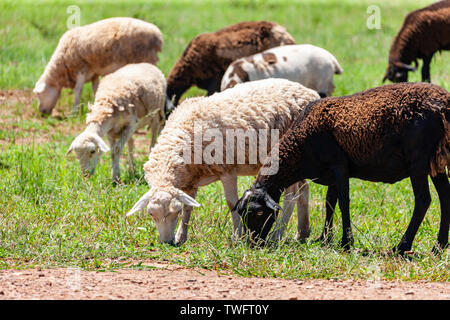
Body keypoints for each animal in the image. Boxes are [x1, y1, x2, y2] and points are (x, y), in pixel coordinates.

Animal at [33, 17, 163, 115]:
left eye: (39, 94)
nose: (42, 113)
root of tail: (158, 37)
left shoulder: (81, 69)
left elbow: (78, 90)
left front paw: (74, 111)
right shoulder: (94, 74)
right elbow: (95, 88)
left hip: (145, 58)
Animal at [126, 79, 320, 244]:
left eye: (176, 211)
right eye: (151, 214)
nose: (166, 242)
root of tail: (310, 92)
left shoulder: (227, 170)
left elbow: (231, 203)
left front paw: (238, 236)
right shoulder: (191, 179)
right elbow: (189, 206)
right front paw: (182, 236)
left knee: (291, 195)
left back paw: (277, 234)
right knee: (303, 189)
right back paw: (302, 233)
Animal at [234, 82, 450, 255]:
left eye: (258, 213)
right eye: (242, 213)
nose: (254, 244)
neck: (301, 144)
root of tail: (444, 105)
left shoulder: (339, 165)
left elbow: (344, 202)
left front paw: (346, 243)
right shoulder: (331, 173)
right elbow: (330, 202)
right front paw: (324, 239)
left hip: (418, 159)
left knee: (423, 200)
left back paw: (402, 247)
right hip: (436, 162)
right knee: (444, 197)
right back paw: (439, 246)